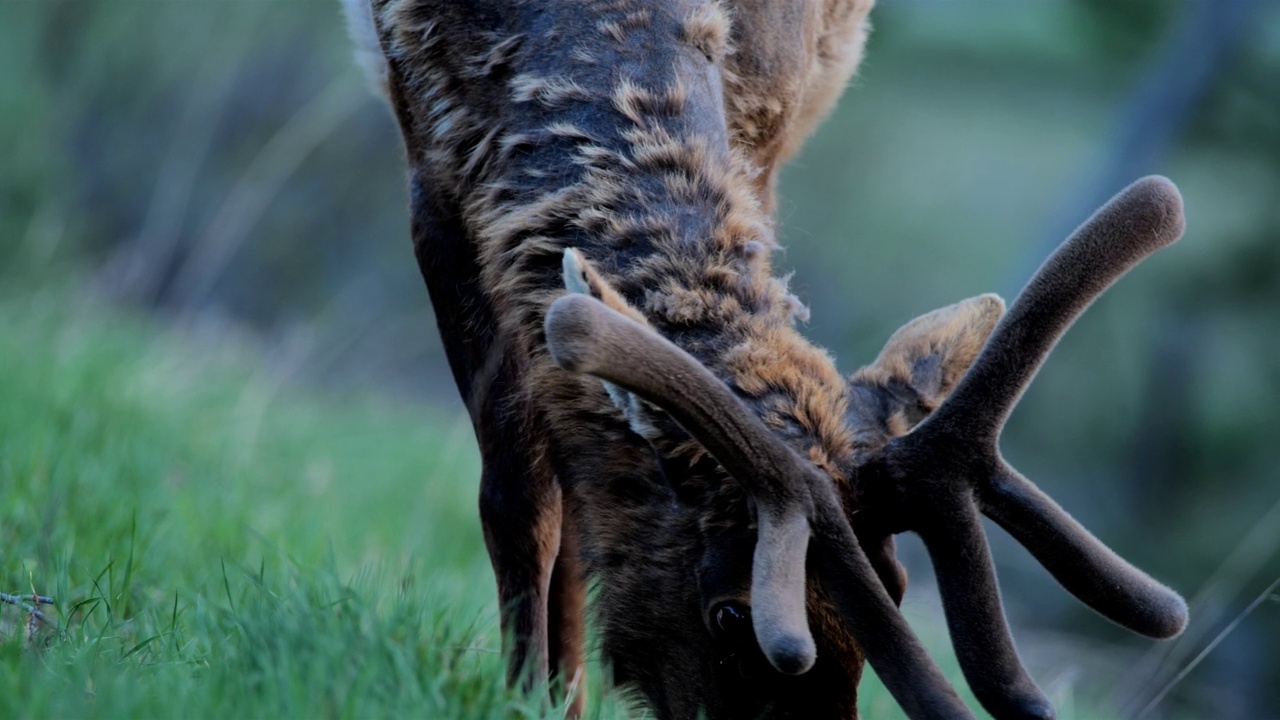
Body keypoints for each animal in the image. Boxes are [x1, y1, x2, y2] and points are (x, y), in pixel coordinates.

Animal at [340, 2, 1187, 712]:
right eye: (727, 614)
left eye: (897, 583)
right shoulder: (435, 169)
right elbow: (519, 502)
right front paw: (528, 697)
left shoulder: (763, 134)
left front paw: (550, 694)